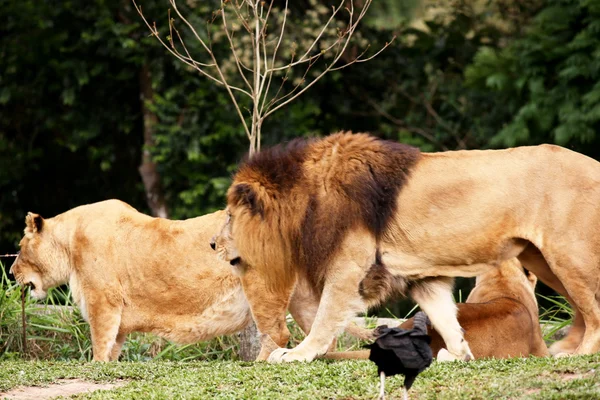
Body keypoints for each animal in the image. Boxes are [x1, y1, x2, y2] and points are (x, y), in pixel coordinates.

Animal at [9, 202, 352, 360]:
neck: (69, 243)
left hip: (260, 288)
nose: (11, 273)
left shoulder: (102, 301)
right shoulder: (117, 313)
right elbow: (113, 347)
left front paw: (95, 366)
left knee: (278, 333)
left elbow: (100, 343)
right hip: (301, 297)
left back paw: (263, 363)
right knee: (324, 331)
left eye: (20, 248)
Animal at [213, 131, 600, 362]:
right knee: (581, 308)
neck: (307, 199)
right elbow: (446, 320)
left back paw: (580, 353)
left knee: (593, 311)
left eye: (230, 215)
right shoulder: (420, 279)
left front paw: (297, 354)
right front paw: (459, 355)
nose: (213, 243)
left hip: (570, 255)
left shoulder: (348, 267)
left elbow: (325, 318)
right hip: (542, 258)